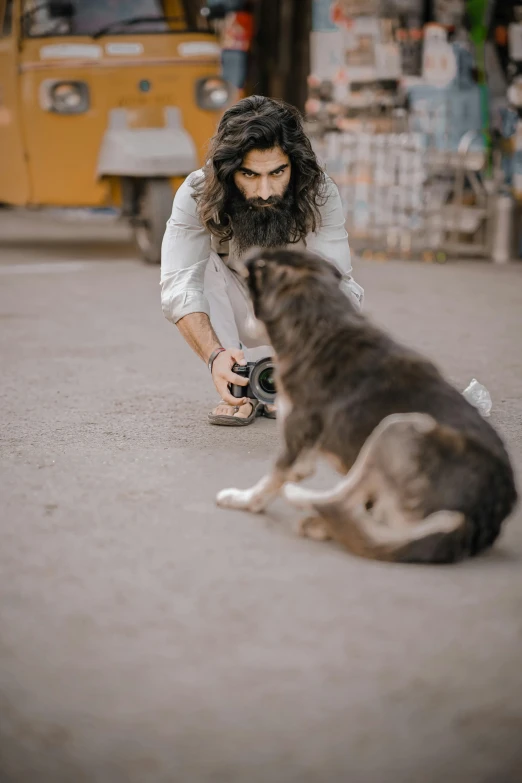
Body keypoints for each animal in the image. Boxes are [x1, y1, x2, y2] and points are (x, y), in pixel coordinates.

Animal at [216, 251, 516, 564]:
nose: (229, 255)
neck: (320, 326)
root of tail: (480, 518)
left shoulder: (297, 451)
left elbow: (269, 482)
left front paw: (242, 499)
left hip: (398, 427)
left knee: (340, 502)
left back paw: (303, 501)